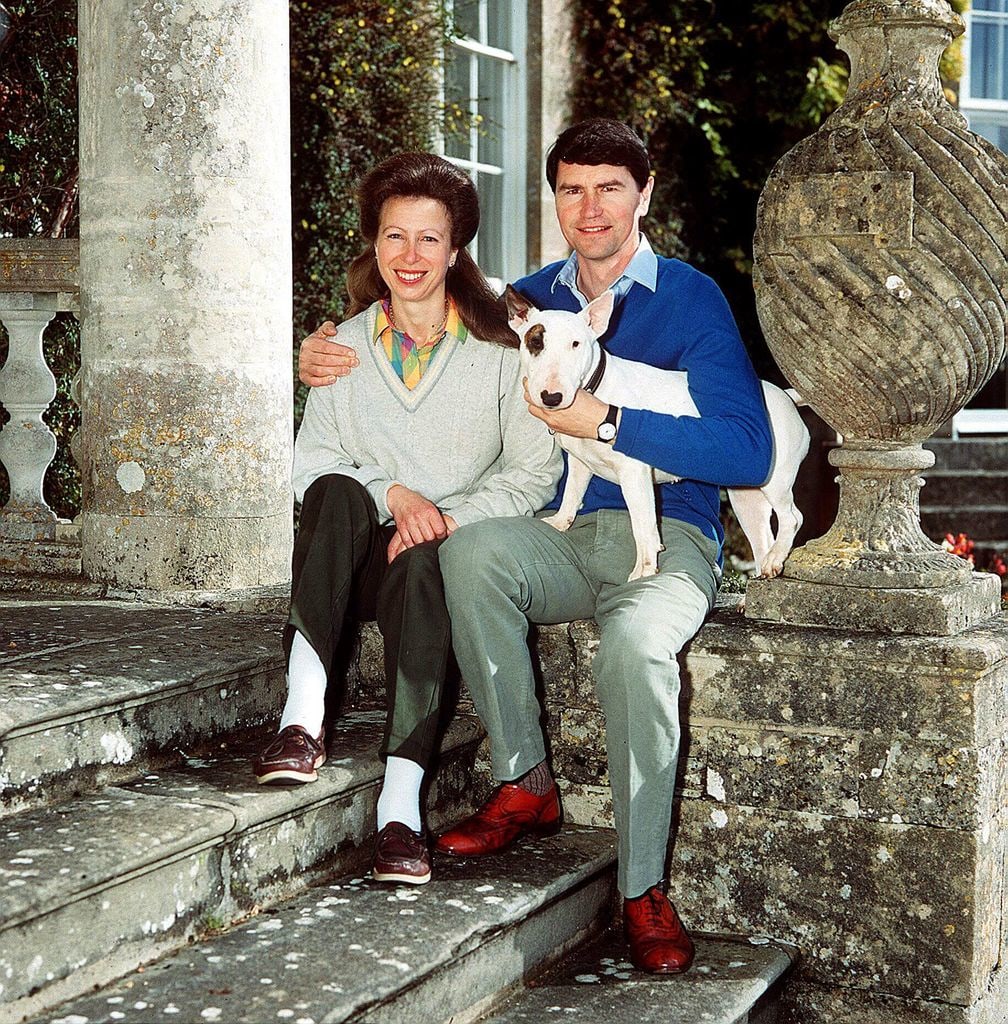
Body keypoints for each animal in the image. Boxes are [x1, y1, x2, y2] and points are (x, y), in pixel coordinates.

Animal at [504, 284, 811, 585]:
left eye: (575, 344)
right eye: (535, 342)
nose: (551, 397)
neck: (597, 384)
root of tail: (786, 396)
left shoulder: (634, 473)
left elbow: (642, 526)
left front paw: (644, 570)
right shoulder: (580, 463)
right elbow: (571, 494)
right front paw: (558, 522)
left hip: (776, 480)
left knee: (792, 517)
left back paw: (776, 557)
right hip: (747, 497)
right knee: (762, 535)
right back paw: (764, 571)